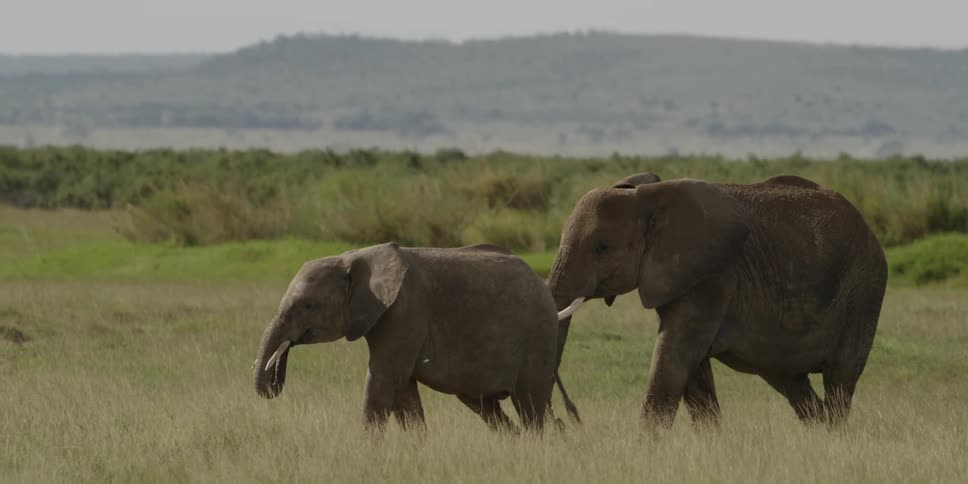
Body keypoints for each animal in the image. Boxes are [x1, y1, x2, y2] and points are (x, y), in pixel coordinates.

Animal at [253, 242, 578, 432]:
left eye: (307, 306)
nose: (273, 382)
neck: (353, 257)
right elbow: (404, 391)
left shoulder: (406, 311)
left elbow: (384, 379)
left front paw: (366, 451)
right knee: (487, 406)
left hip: (538, 335)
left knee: (531, 405)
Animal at [549, 173, 887, 428]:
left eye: (602, 247)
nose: (569, 418)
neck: (647, 200)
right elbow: (692, 372)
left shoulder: (713, 277)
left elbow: (674, 357)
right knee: (793, 383)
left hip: (863, 289)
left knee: (840, 379)